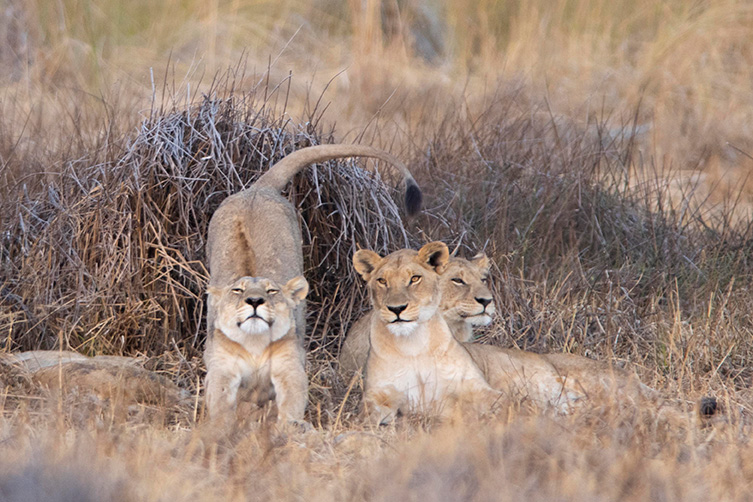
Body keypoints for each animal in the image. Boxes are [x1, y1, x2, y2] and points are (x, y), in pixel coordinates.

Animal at [203, 275, 309, 424]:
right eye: (237, 290)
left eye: (272, 290)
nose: (254, 300)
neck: (255, 341)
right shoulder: (223, 368)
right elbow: (220, 398)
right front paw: (221, 423)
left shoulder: (289, 367)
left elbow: (292, 397)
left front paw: (289, 423)